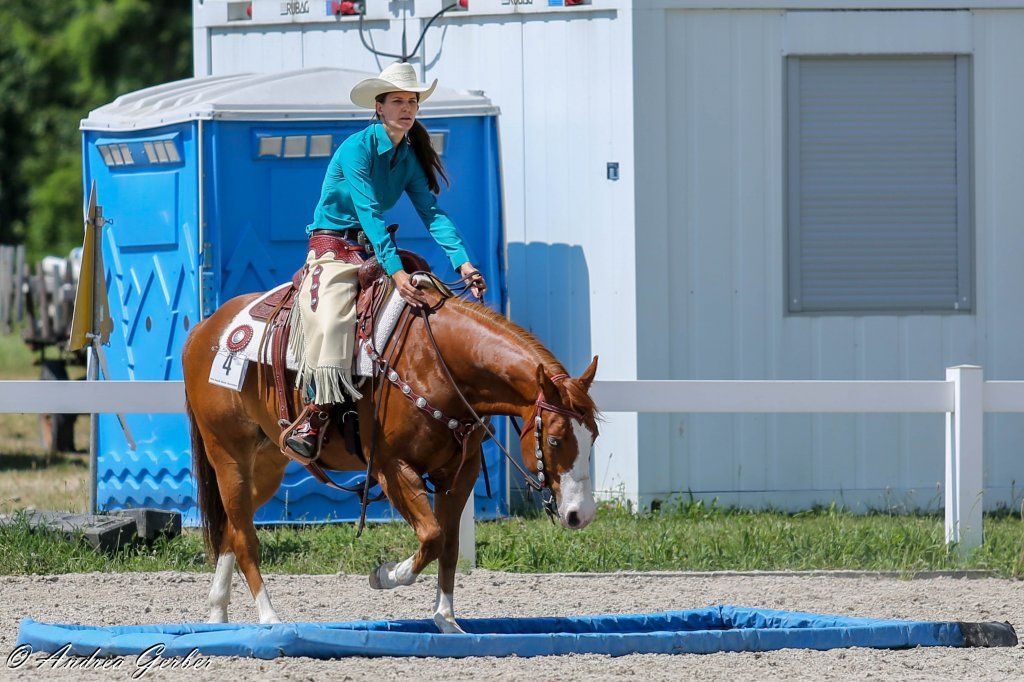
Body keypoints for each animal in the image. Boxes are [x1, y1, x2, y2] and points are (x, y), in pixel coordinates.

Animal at [181, 274, 600, 632]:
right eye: (556, 440)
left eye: (593, 437)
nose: (579, 515)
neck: (440, 364)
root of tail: (205, 330)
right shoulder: (392, 468)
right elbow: (431, 536)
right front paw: (385, 575)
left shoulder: (459, 473)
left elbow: (449, 545)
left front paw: (447, 620)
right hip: (229, 453)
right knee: (245, 535)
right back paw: (269, 618)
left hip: (269, 461)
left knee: (233, 526)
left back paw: (218, 614)